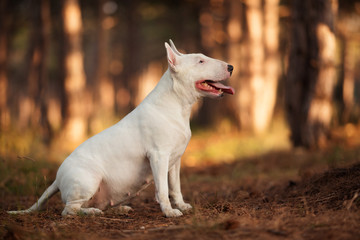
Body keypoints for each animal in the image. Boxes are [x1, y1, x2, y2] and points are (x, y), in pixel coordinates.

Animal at [8, 40, 235, 218]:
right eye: (200, 61)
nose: (231, 66)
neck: (177, 103)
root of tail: (56, 178)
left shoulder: (174, 160)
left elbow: (175, 187)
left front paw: (182, 206)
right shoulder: (158, 156)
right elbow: (163, 189)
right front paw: (170, 212)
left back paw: (119, 209)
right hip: (88, 179)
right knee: (69, 210)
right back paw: (91, 212)